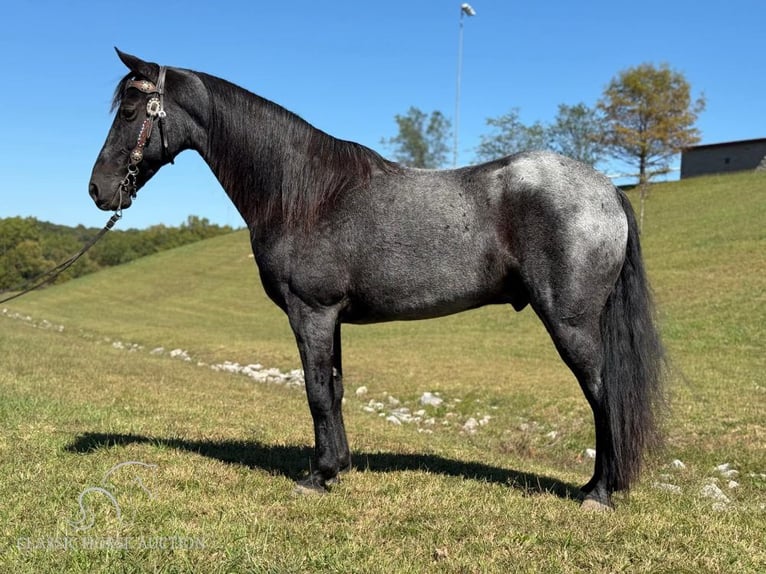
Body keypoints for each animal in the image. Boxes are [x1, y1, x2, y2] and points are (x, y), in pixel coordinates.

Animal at [88, 48, 664, 508]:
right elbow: (336, 389)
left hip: (571, 323)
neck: (304, 193)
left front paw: (318, 477)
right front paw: (337, 466)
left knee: (602, 393)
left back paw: (598, 493)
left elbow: (316, 391)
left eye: (132, 110)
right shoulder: (332, 318)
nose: (98, 189)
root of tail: (608, 189)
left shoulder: (311, 312)